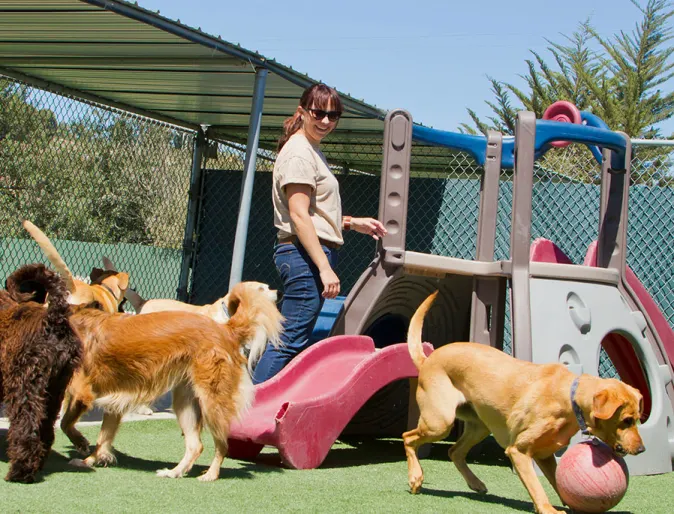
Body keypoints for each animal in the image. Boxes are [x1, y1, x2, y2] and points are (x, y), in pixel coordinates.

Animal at [0, 262, 82, 482]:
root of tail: (54, 320)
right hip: (55, 388)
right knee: (46, 429)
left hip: (25, 386)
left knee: (27, 428)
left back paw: (20, 471)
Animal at [60, 278, 284, 478]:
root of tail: (225, 329)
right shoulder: (113, 403)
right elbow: (103, 438)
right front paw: (90, 460)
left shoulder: (82, 393)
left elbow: (65, 423)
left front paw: (81, 444)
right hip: (186, 402)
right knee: (196, 445)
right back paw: (175, 472)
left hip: (211, 402)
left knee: (222, 445)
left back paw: (210, 475)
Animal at [402, 290, 644, 510]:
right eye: (626, 420)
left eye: (637, 419)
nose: (641, 449)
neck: (568, 396)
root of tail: (427, 360)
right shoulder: (519, 451)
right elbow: (536, 487)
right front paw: (548, 509)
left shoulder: (545, 455)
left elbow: (557, 483)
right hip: (440, 422)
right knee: (408, 438)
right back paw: (416, 477)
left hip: (479, 426)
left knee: (454, 451)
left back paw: (475, 483)